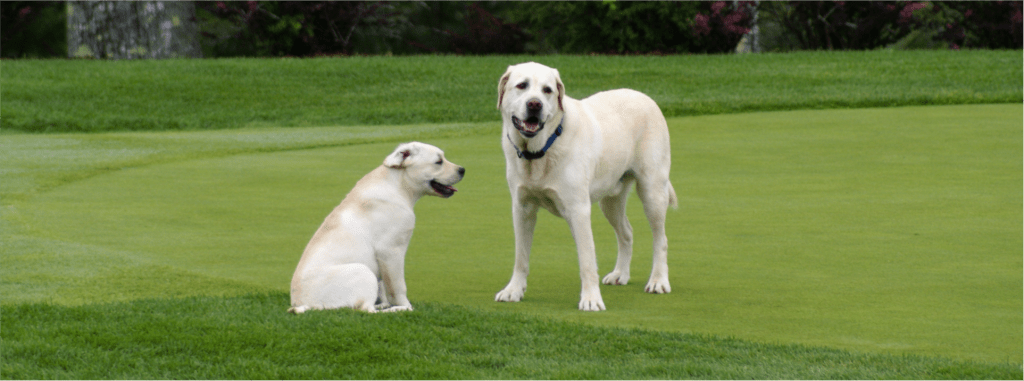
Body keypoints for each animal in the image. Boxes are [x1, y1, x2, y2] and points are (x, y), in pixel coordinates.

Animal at [288, 141, 464, 313]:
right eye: (438, 162)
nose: (462, 170)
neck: (398, 185)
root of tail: (302, 304)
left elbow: (384, 288)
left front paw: (385, 302)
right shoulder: (391, 252)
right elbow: (397, 287)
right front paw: (406, 305)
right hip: (363, 270)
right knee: (366, 309)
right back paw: (398, 309)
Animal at [493, 61, 675, 309]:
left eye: (547, 90)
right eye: (522, 85)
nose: (535, 104)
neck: (542, 150)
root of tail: (645, 97)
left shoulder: (578, 210)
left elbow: (587, 260)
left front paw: (591, 299)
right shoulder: (522, 209)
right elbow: (520, 256)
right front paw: (513, 290)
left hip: (652, 191)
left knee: (661, 239)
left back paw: (658, 281)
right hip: (610, 201)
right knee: (626, 232)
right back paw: (620, 274)